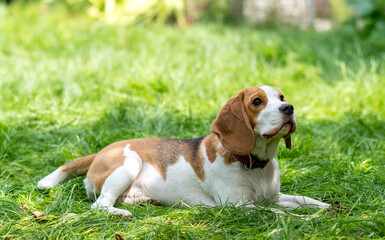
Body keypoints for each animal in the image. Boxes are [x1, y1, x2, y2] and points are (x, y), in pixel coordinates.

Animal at [37, 86, 328, 216]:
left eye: (281, 97)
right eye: (258, 101)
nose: (289, 108)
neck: (253, 163)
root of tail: (100, 152)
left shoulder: (272, 197)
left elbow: (303, 200)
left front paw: (326, 207)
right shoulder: (239, 205)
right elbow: (281, 214)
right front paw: (305, 220)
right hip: (128, 164)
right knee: (100, 204)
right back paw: (122, 213)